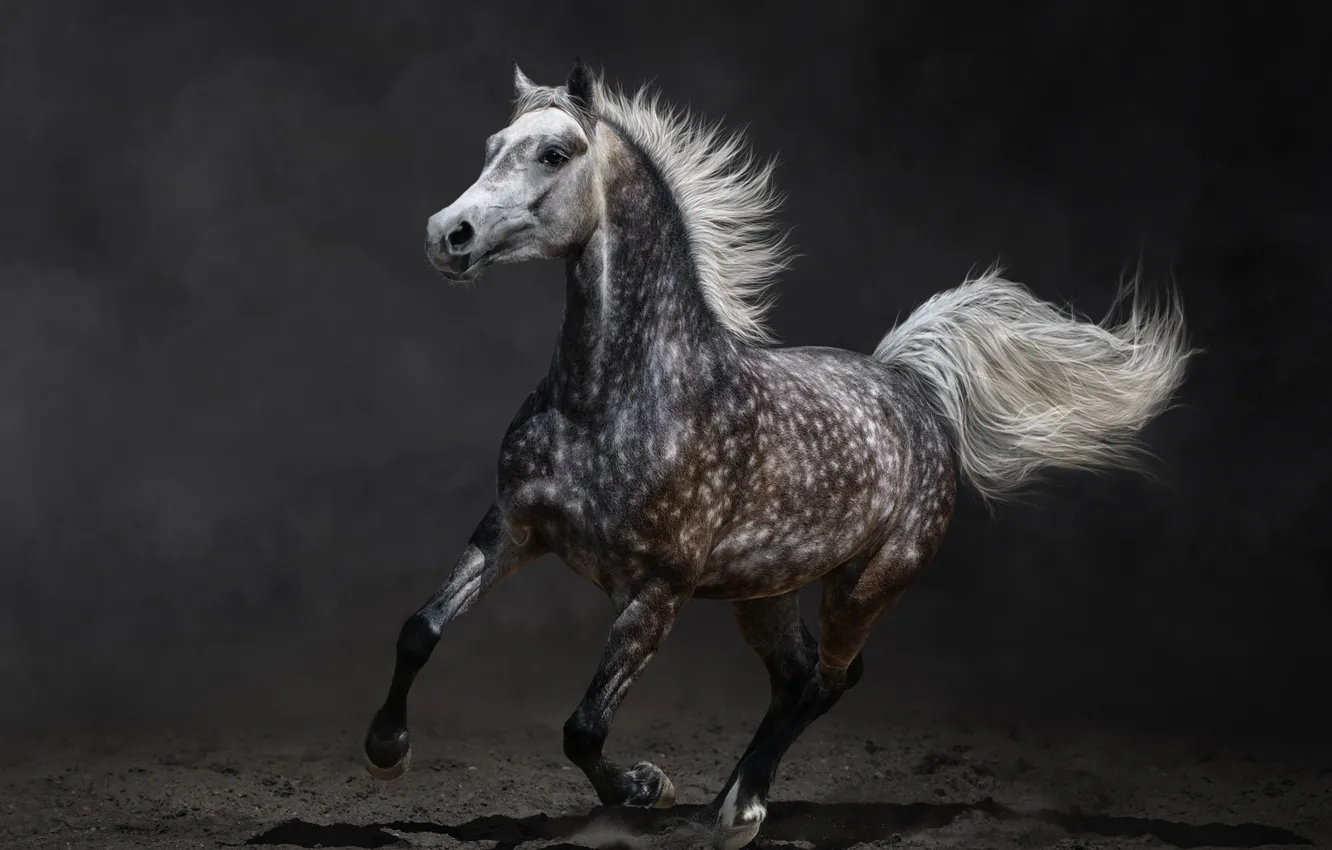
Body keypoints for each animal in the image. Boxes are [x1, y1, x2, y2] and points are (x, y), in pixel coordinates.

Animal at [361, 59, 1192, 850]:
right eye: (492, 146)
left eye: (554, 153)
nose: (449, 234)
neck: (612, 399)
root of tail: (911, 385)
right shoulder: (512, 529)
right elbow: (419, 629)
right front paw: (386, 751)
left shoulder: (657, 591)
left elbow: (584, 729)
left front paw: (646, 789)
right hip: (767, 591)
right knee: (796, 680)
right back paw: (732, 802)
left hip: (866, 584)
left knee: (828, 681)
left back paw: (736, 812)